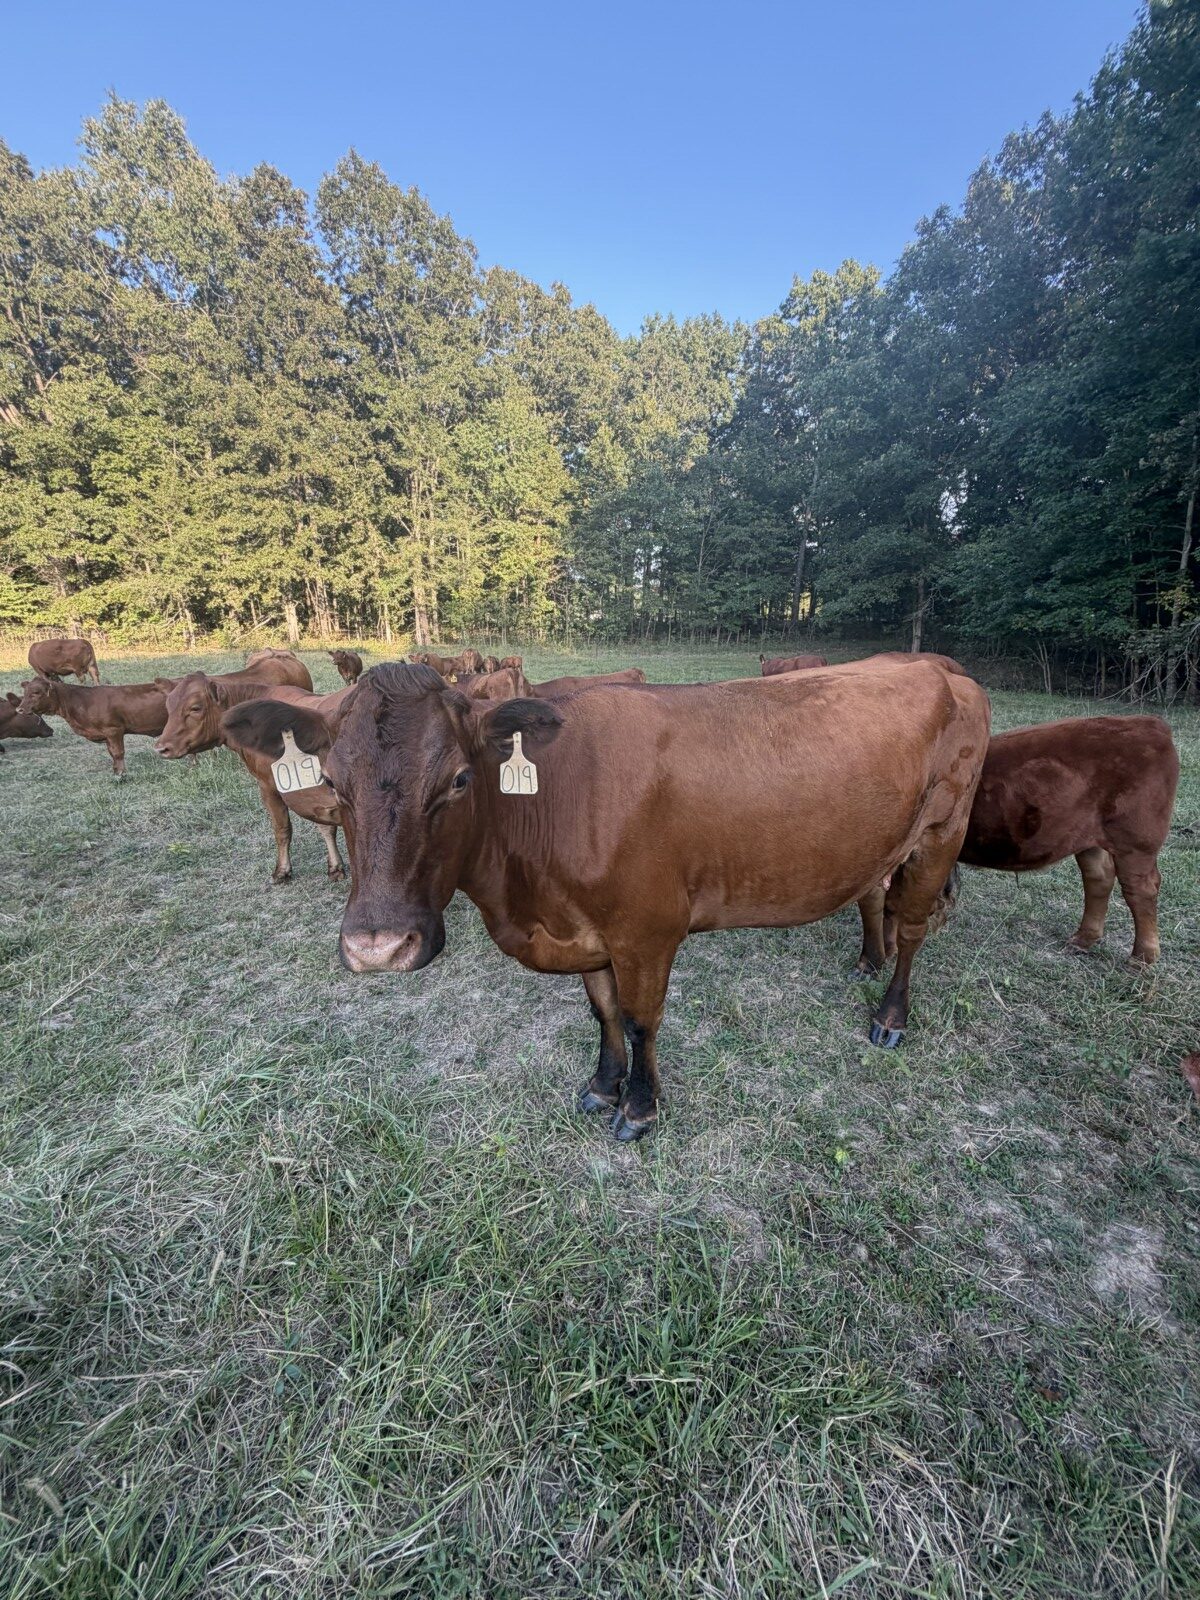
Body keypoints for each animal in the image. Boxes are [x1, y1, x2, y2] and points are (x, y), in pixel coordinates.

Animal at [18, 677, 167, 775]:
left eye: (36, 692)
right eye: (24, 693)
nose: (19, 709)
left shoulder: (113, 730)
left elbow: (118, 753)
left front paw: (121, 775)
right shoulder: (107, 735)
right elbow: (112, 753)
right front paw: (115, 772)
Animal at [156, 673, 351, 881]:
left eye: (195, 708)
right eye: (168, 706)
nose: (161, 747)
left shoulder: (268, 786)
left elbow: (282, 829)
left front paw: (282, 871)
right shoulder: (310, 795)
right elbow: (325, 827)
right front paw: (335, 868)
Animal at [226, 659, 989, 1141]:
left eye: (460, 779)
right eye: (333, 780)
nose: (378, 947)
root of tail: (941, 671)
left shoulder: (647, 930)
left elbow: (642, 1018)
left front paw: (641, 1108)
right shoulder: (584, 931)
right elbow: (602, 1011)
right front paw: (602, 1084)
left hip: (940, 836)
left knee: (914, 928)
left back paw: (890, 1014)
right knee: (878, 898)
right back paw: (867, 960)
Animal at [858, 715, 1178, 971]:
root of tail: (1150, 724)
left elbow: (891, 904)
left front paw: (881, 956)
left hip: (1136, 843)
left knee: (1140, 890)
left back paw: (1142, 958)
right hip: (1091, 839)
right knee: (1098, 878)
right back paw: (1084, 939)